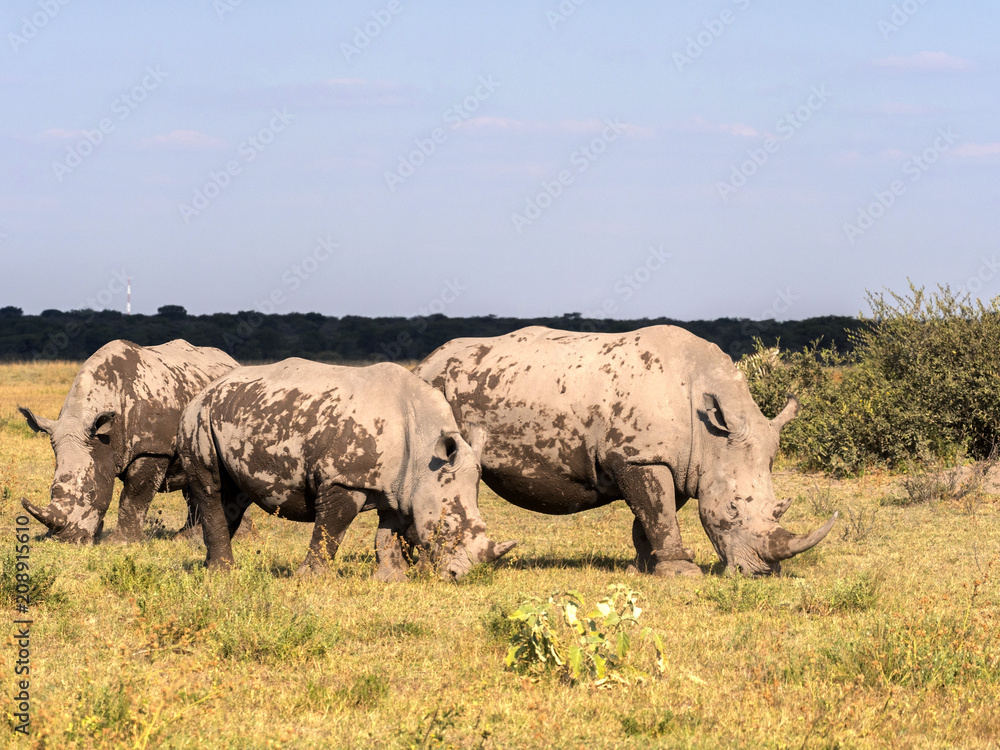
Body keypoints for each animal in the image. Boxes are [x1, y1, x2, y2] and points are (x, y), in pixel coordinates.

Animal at [20, 339, 239, 544]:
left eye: (91, 492)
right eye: (51, 490)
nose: (66, 540)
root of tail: (232, 361)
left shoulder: (153, 448)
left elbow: (134, 494)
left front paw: (120, 542)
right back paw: (184, 537)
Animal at [176, 358, 516, 580]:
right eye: (446, 526)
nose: (458, 575)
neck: (425, 451)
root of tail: (206, 387)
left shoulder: (398, 487)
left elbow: (386, 533)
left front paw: (391, 580)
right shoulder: (344, 479)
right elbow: (331, 530)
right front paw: (310, 580)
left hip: (227, 413)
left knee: (234, 496)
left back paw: (210, 568)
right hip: (197, 415)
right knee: (211, 487)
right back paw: (222, 574)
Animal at [413, 325, 837, 577]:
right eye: (732, 509)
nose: (762, 573)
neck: (711, 436)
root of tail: (425, 362)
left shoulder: (677, 463)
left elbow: (653, 515)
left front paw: (644, 568)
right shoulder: (640, 456)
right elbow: (659, 513)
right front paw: (682, 575)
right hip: (436, 386)